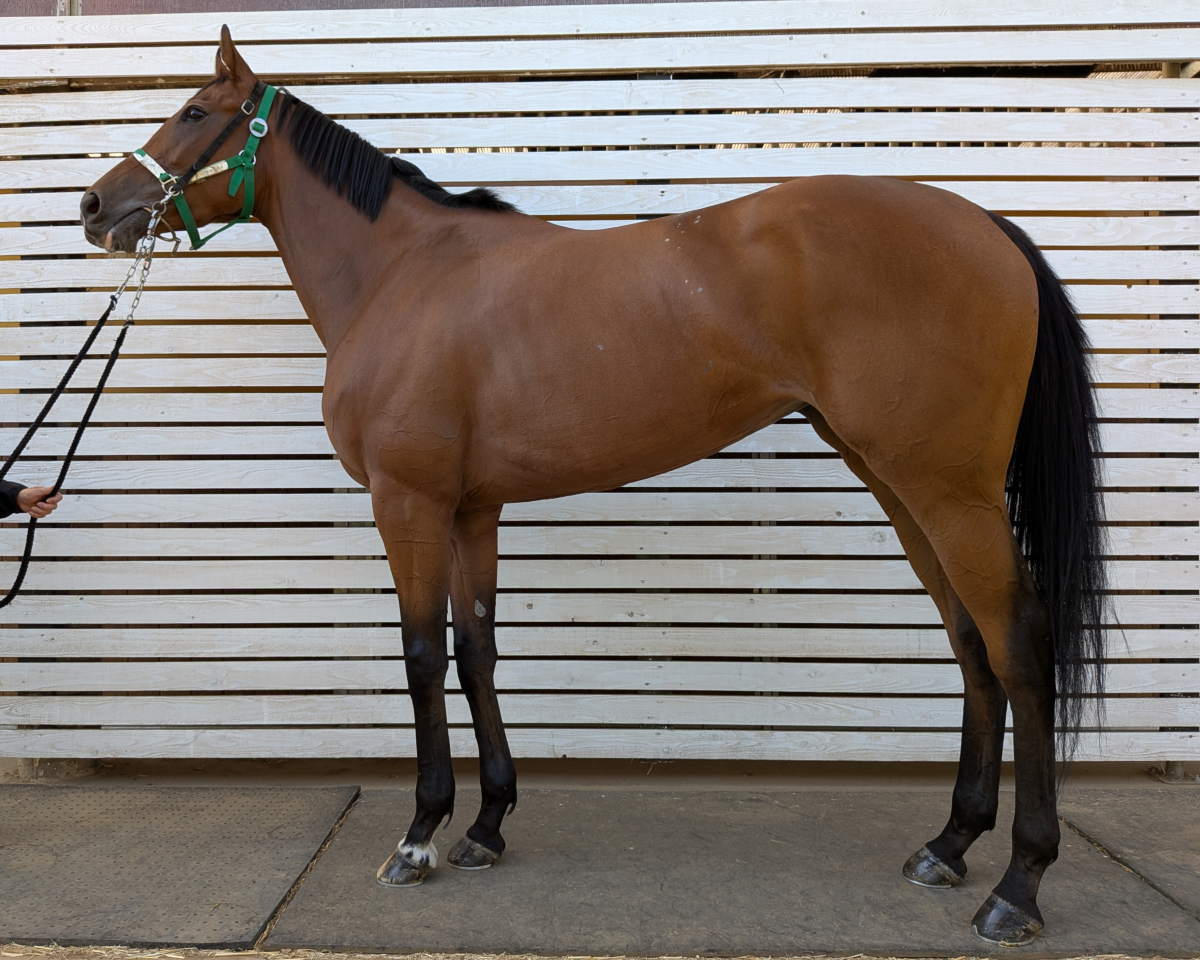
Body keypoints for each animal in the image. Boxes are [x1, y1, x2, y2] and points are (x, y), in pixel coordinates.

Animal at [80, 27, 1108, 946]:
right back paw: (949, 843)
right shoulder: (472, 509)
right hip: (901, 485)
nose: (94, 206)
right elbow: (477, 651)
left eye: (193, 111)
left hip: (951, 493)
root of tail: (986, 227)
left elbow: (421, 656)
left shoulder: (408, 503)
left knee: (1018, 642)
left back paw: (1017, 884)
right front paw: (486, 827)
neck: (403, 278)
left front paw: (420, 836)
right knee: (969, 641)